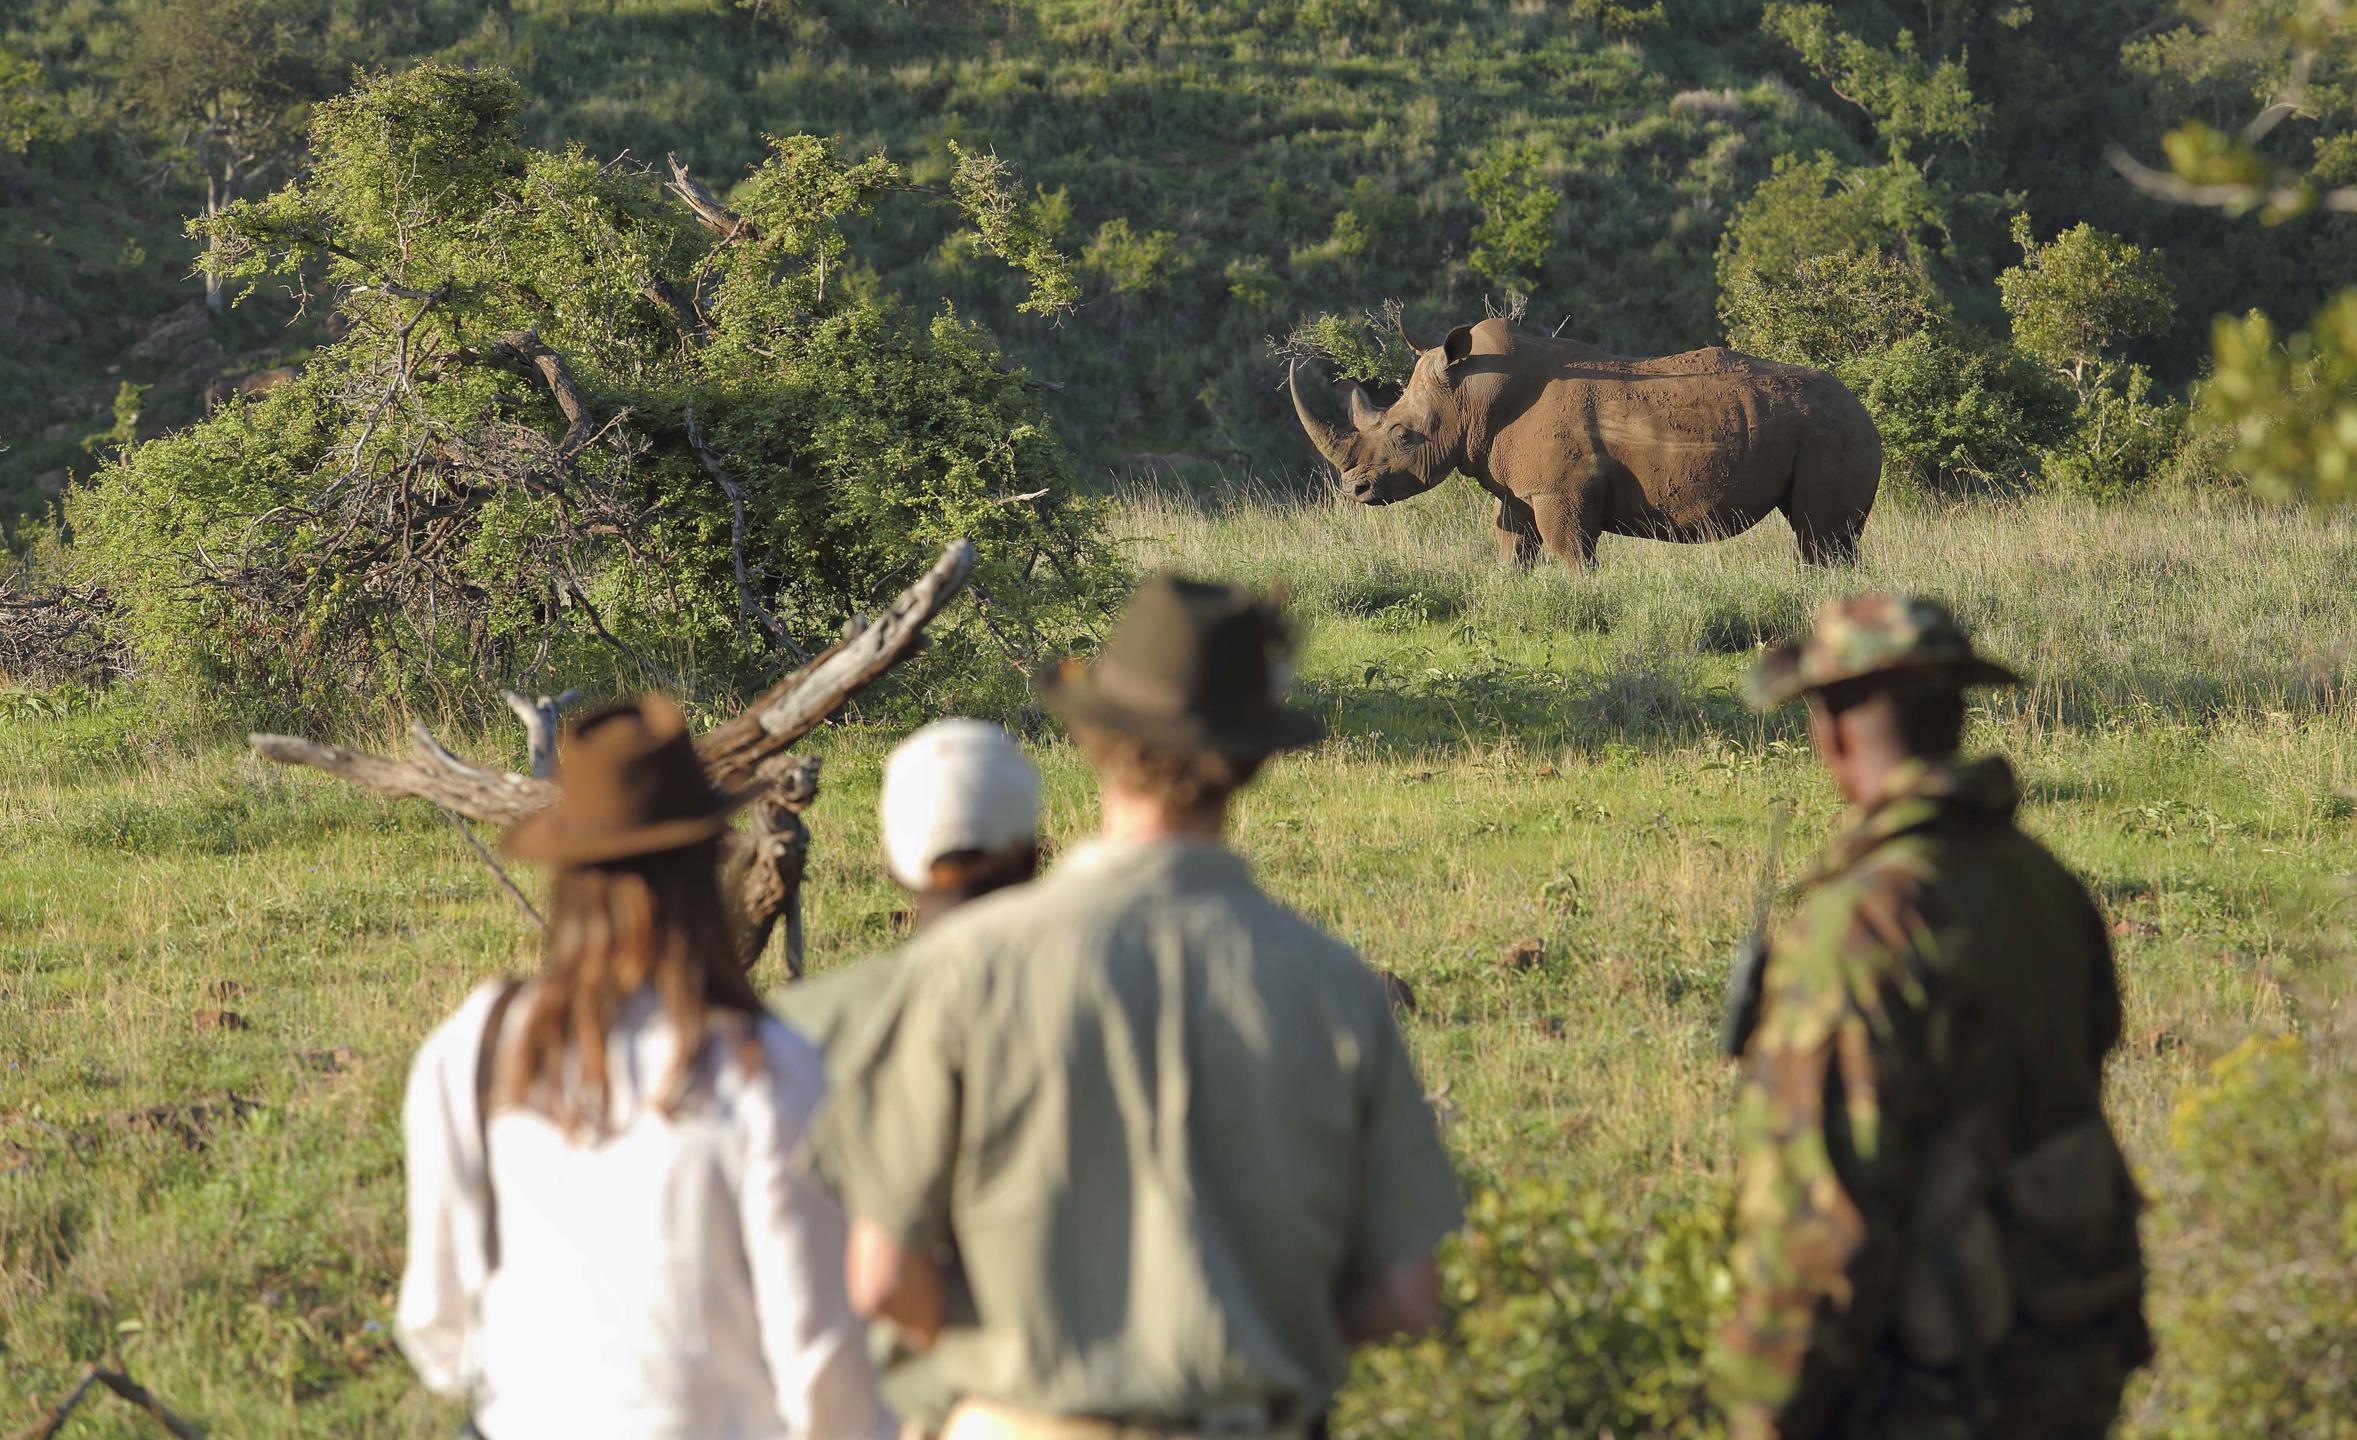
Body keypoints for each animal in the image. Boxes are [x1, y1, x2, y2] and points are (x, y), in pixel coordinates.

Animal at [1290, 317, 1881, 567]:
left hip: (1834, 430)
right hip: (1826, 427)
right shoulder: (1522, 490)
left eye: (1402, 434)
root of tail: (1865, 407)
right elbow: (1512, 546)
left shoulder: (1562, 492)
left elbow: (1570, 554)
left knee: (1821, 536)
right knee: (1823, 540)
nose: (1354, 489)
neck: (1472, 395)